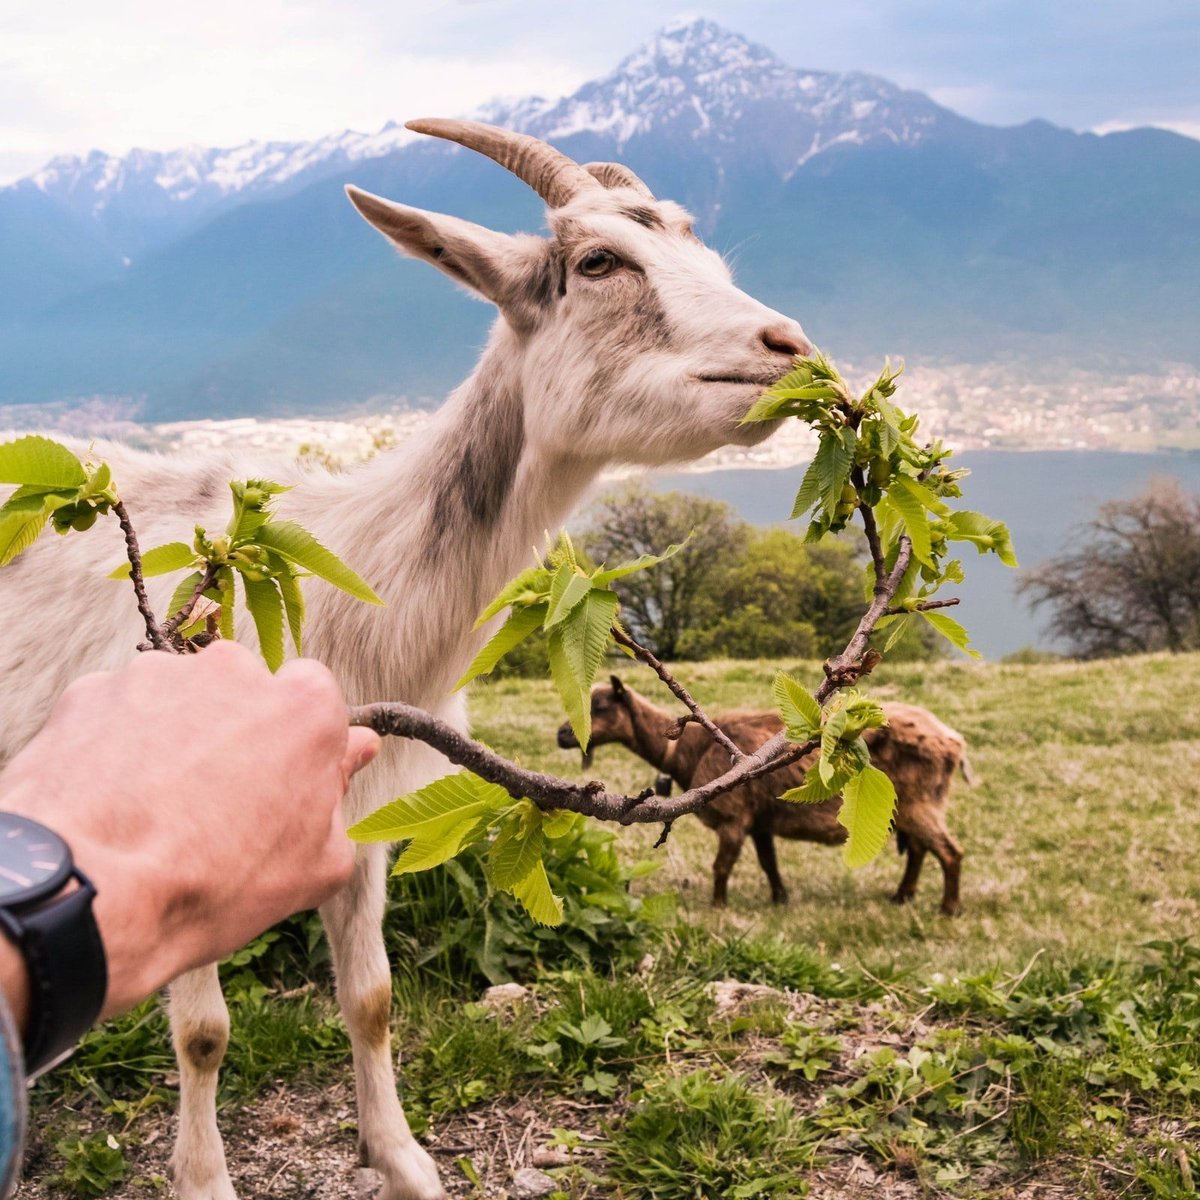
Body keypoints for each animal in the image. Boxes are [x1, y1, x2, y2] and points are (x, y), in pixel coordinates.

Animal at [0, 121, 813, 1200]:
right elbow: (206, 1031)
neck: (354, 589)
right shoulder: (178, 827)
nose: (790, 348)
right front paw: (205, 1179)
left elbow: (374, 998)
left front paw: (404, 1161)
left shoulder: (363, 813)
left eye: (706, 251)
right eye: (600, 262)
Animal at [557, 677, 970, 914]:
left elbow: (721, 867)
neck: (690, 749)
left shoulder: (733, 816)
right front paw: (780, 899)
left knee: (949, 852)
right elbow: (769, 863)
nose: (562, 735)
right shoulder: (760, 822)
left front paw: (717, 907)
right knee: (919, 850)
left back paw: (948, 908)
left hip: (920, 802)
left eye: (601, 706)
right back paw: (902, 897)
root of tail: (953, 740)